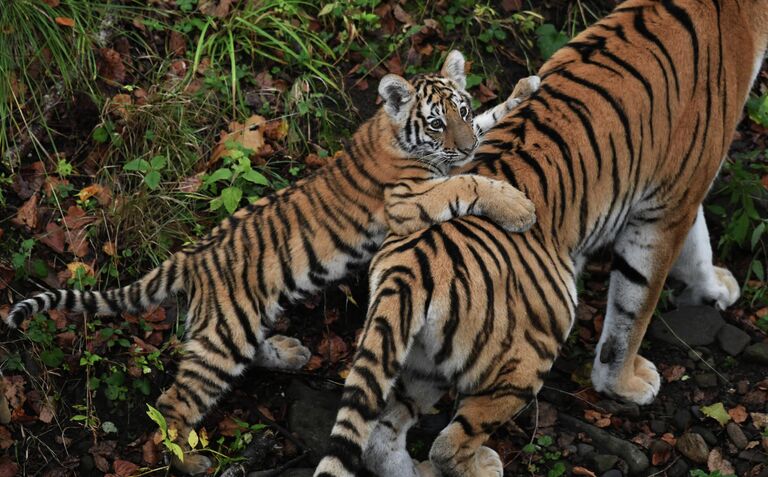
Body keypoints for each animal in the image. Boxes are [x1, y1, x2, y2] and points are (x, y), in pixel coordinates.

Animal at [3, 53, 536, 472]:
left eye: (460, 110)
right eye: (436, 123)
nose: (464, 147)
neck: (392, 130)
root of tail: (189, 258)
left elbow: (488, 125)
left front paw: (523, 90)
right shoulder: (407, 201)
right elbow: (465, 182)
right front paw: (518, 207)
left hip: (232, 325)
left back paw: (289, 352)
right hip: (223, 336)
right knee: (173, 401)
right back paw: (191, 461)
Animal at [316, 0, 764, 474]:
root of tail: (407, 270)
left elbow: (698, 247)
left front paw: (715, 287)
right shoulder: (670, 202)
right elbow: (635, 308)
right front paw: (623, 383)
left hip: (419, 363)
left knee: (381, 437)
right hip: (528, 354)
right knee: (448, 443)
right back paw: (482, 464)